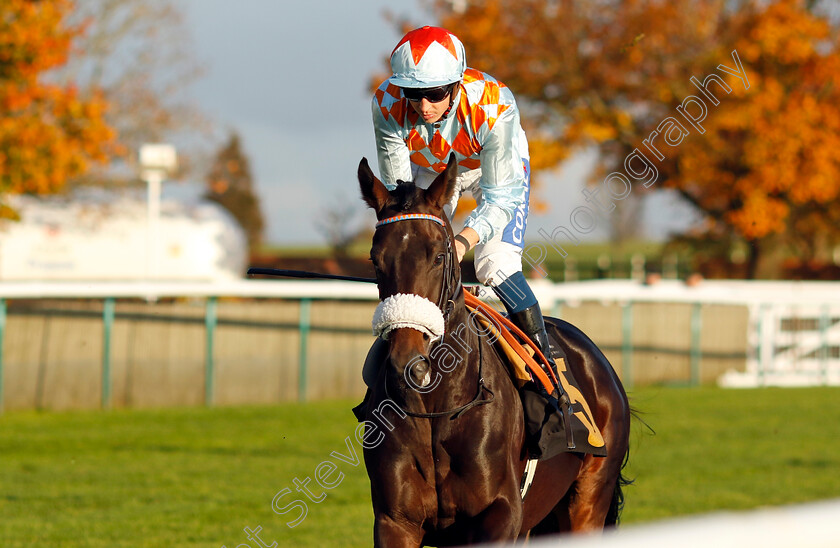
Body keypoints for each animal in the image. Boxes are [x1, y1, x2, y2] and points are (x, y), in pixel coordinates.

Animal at [356, 155, 632, 548]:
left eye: (439, 256)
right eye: (375, 259)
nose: (410, 363)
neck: (436, 410)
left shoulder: (500, 515)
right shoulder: (396, 521)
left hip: (589, 499)